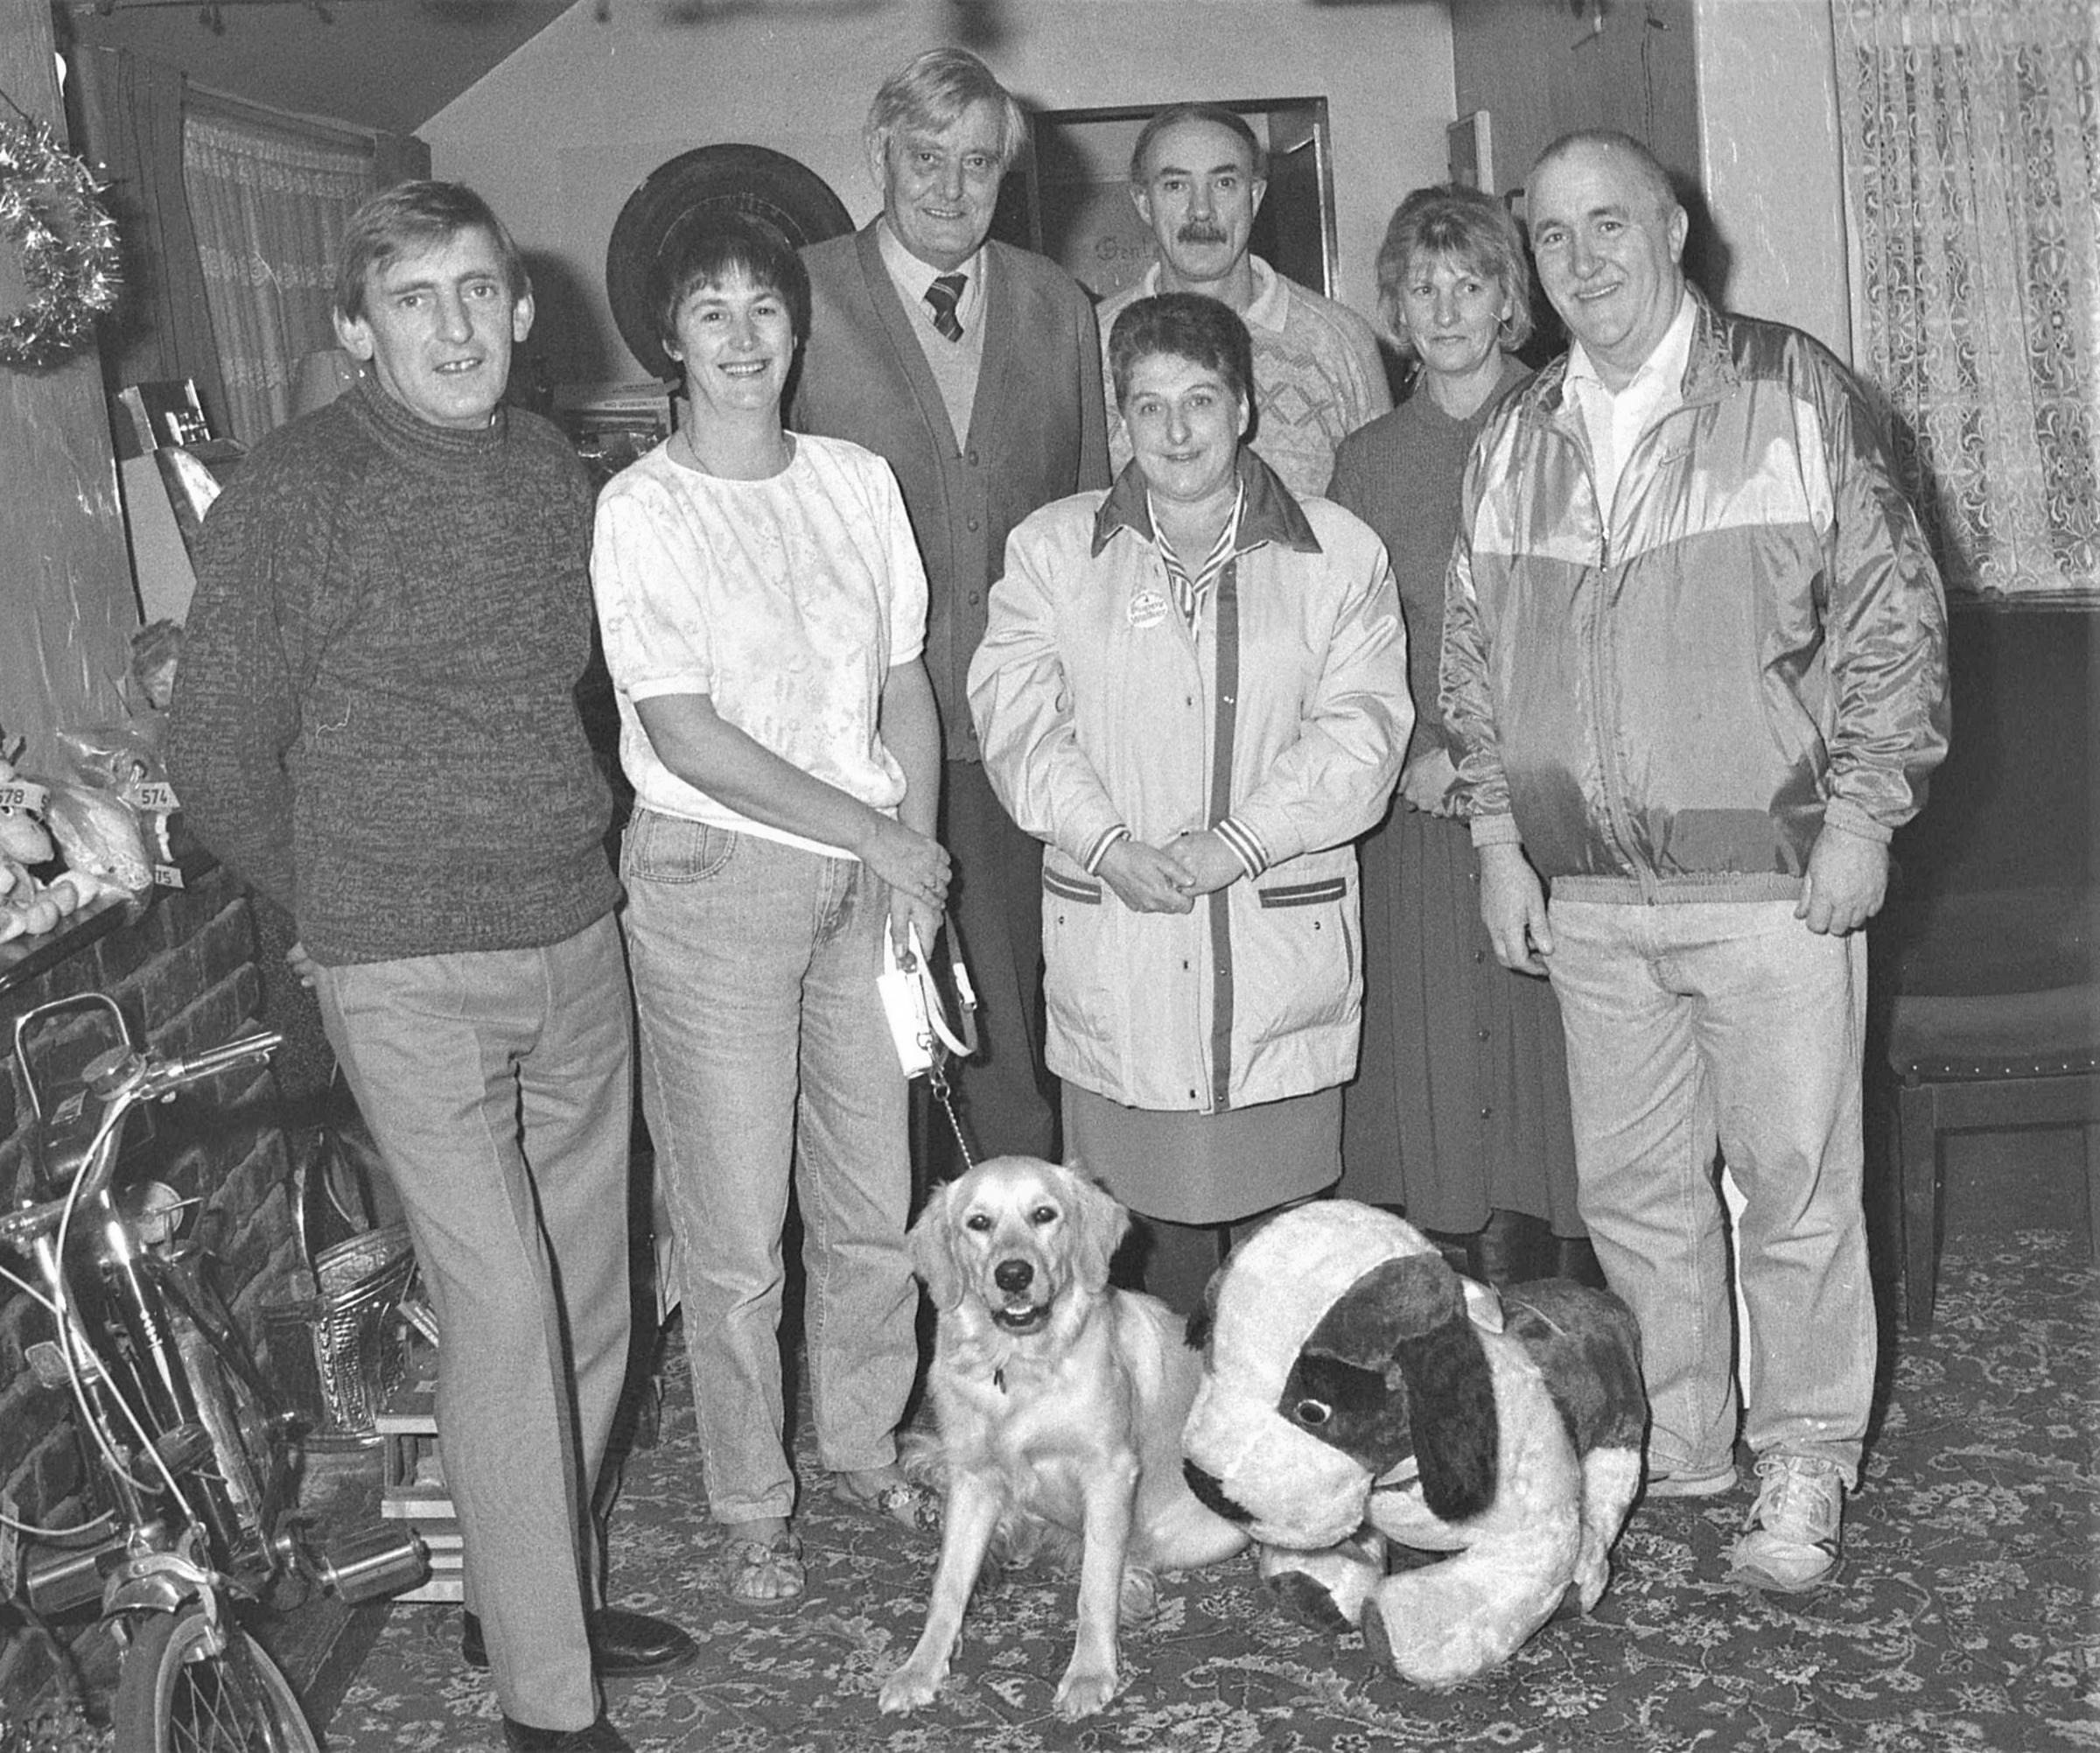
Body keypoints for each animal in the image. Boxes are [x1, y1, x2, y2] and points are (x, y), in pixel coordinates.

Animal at [873, 1159, 1242, 1721]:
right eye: (978, 1222)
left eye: (1044, 1215)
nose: (1013, 1275)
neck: (1017, 1366)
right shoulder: (973, 1479)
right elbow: (948, 1584)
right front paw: (920, 1668)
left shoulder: (1109, 1473)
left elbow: (1094, 1587)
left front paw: (1089, 1673)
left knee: (1127, 1558)